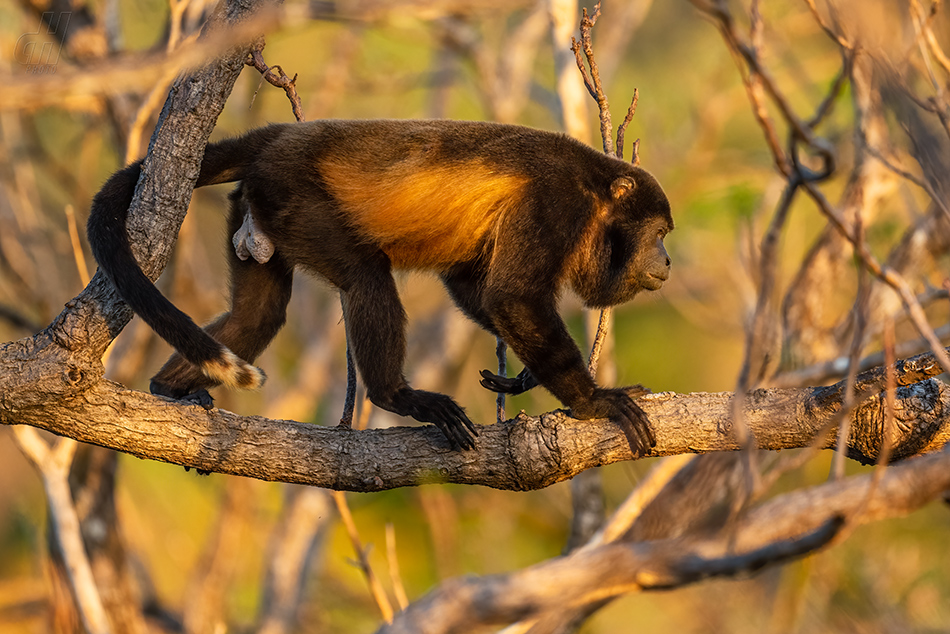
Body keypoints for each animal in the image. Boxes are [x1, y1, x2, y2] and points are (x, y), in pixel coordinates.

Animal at [85, 118, 672, 452]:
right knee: (366, 274)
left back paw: (169, 388)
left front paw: (526, 377)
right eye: (659, 233)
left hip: (258, 206)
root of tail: (274, 138)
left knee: (259, 312)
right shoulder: (557, 199)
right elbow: (513, 296)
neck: (597, 194)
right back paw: (399, 396)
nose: (666, 260)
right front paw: (595, 402)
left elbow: (472, 282)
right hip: (295, 195)